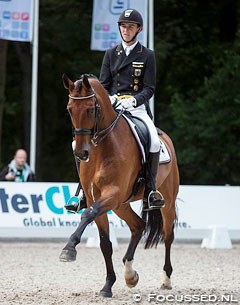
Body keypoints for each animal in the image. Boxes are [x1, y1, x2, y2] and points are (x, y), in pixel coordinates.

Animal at [59, 73, 180, 296]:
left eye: (90, 109)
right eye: (69, 109)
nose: (81, 153)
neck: (102, 147)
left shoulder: (112, 193)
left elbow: (87, 214)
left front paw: (69, 249)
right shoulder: (97, 197)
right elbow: (105, 243)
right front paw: (108, 285)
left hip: (165, 199)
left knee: (168, 236)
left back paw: (166, 280)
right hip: (120, 205)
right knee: (138, 225)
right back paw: (130, 274)